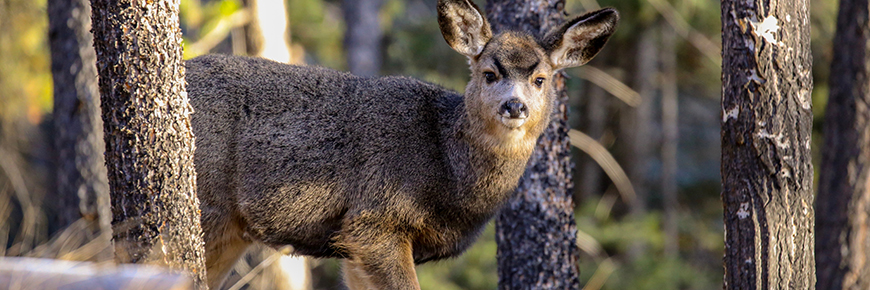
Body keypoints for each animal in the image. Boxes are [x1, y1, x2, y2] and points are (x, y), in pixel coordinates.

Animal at [185, 1, 620, 288]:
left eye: (541, 79)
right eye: (490, 73)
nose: (515, 106)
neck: (445, 168)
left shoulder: (350, 246)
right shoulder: (374, 220)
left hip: (231, 231)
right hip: (208, 205)